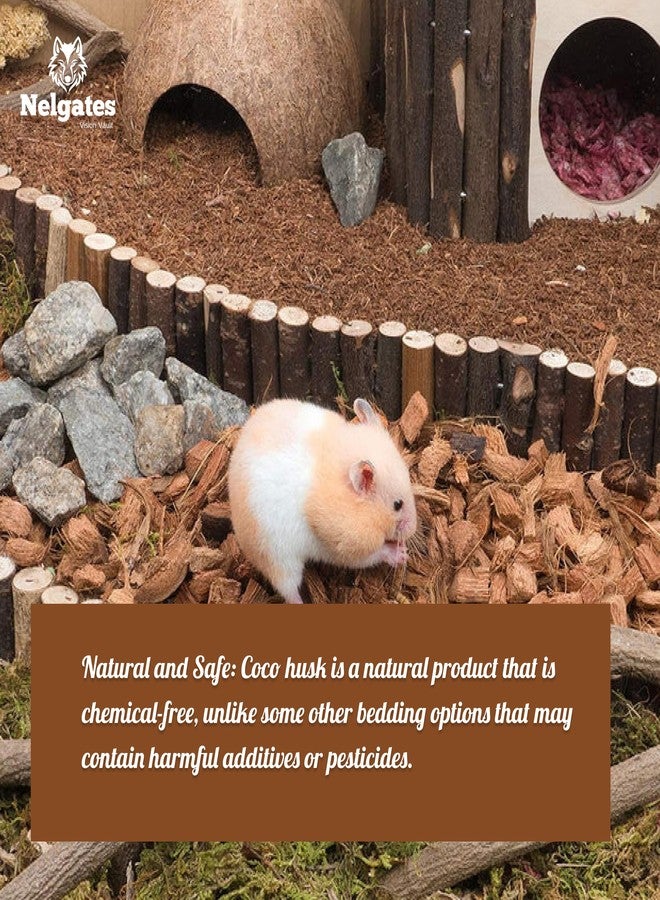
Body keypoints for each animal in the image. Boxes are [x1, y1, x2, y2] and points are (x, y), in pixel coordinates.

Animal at [228, 398, 417, 603]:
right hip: (278, 558)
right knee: (288, 590)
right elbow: (375, 554)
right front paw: (402, 554)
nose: (414, 530)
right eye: (397, 505)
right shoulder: (344, 547)